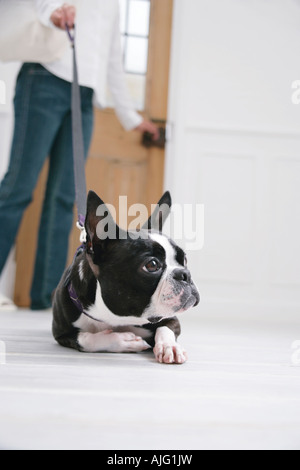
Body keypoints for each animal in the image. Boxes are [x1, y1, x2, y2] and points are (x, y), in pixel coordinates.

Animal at [52, 191, 200, 364]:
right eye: (152, 265)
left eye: (184, 260)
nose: (185, 274)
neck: (115, 317)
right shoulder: (62, 333)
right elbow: (86, 339)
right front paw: (123, 340)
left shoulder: (171, 319)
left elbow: (165, 329)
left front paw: (169, 347)